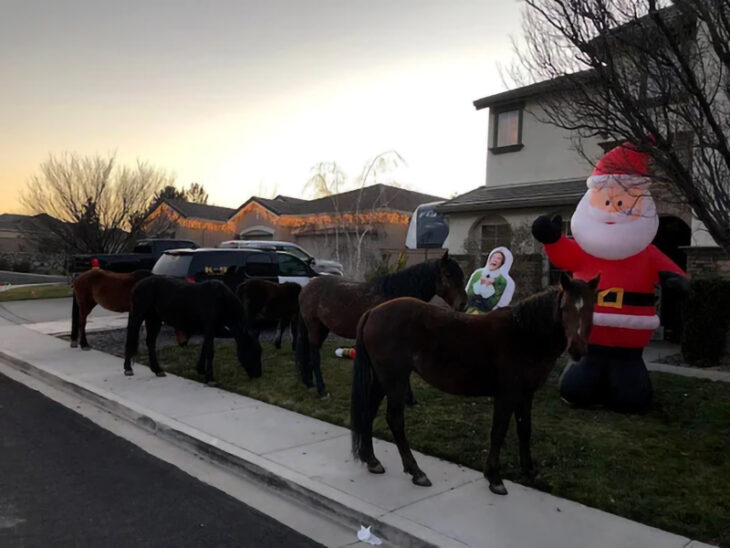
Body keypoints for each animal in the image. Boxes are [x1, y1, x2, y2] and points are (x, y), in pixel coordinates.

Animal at [123, 276, 262, 384]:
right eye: (253, 351)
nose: (258, 375)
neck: (221, 300)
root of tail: (137, 285)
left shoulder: (212, 329)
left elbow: (205, 348)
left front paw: (201, 370)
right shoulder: (209, 327)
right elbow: (210, 351)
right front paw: (210, 378)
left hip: (154, 319)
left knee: (150, 342)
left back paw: (157, 370)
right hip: (138, 315)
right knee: (131, 338)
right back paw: (128, 368)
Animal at [292, 250, 464, 396]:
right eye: (448, 274)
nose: (463, 304)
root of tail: (306, 288)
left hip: (322, 328)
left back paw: (308, 382)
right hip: (314, 327)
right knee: (315, 357)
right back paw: (321, 390)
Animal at [352, 274, 596, 496]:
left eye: (591, 308)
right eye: (564, 307)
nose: (577, 350)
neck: (524, 334)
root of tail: (373, 312)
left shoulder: (526, 394)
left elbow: (524, 429)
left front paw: (529, 472)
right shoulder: (507, 394)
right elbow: (498, 432)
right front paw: (494, 477)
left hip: (382, 380)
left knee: (368, 412)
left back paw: (371, 460)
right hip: (395, 379)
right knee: (395, 420)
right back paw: (416, 472)